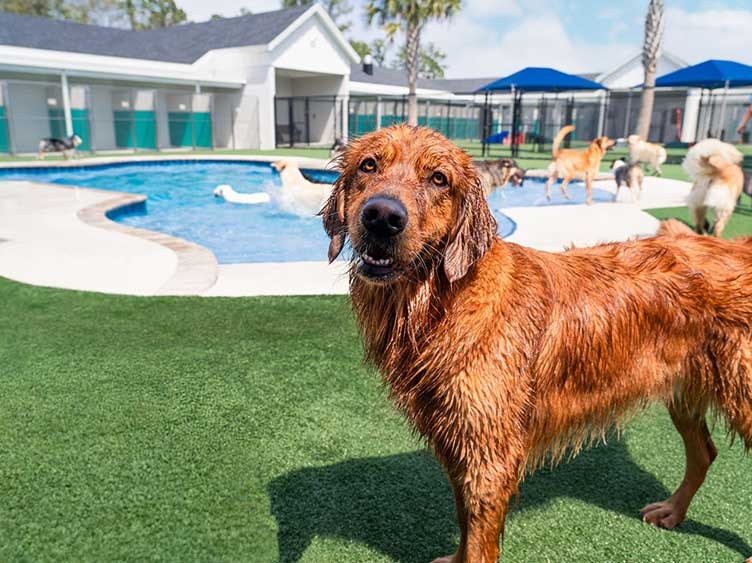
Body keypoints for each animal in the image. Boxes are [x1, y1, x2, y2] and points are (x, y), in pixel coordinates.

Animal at [322, 126, 752, 563]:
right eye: (368, 165)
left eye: (439, 179)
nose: (382, 217)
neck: (442, 302)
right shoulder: (457, 441)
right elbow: (465, 523)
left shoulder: (489, 457)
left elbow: (479, 543)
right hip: (683, 389)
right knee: (704, 453)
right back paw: (672, 511)